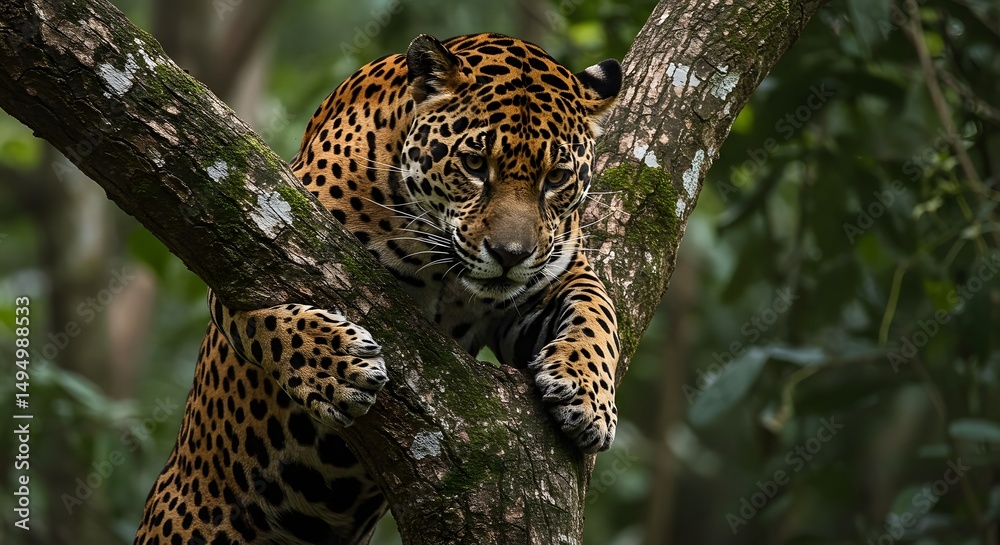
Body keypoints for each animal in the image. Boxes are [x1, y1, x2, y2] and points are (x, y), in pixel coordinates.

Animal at [134, 32, 622, 545]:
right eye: (474, 163)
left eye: (557, 178)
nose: (510, 255)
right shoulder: (243, 236)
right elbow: (259, 319)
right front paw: (335, 367)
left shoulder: (554, 279)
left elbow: (599, 313)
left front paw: (588, 398)